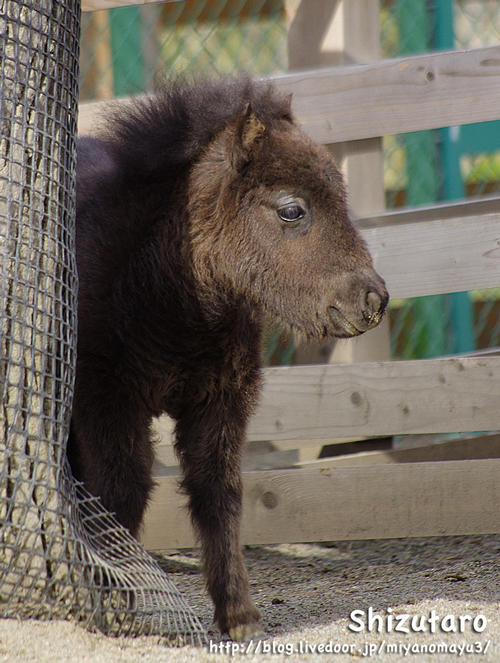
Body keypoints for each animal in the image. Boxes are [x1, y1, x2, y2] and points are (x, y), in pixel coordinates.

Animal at [68, 75, 388, 640]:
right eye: (291, 209)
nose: (372, 300)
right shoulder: (109, 405)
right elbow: (119, 495)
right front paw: (124, 599)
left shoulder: (219, 403)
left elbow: (218, 493)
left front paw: (239, 614)